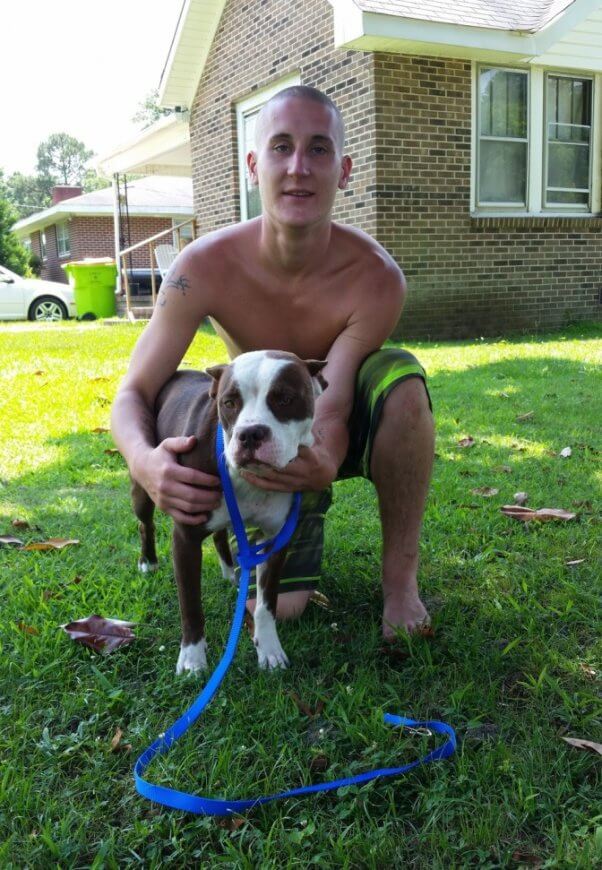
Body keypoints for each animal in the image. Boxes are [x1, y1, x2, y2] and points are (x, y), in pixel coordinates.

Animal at [129, 350, 326, 676]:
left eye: (285, 399)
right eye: (229, 403)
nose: (250, 434)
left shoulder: (275, 541)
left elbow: (267, 604)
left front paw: (269, 649)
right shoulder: (184, 539)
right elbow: (191, 605)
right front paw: (192, 659)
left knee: (219, 534)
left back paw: (228, 572)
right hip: (145, 483)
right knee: (146, 523)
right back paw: (148, 561)